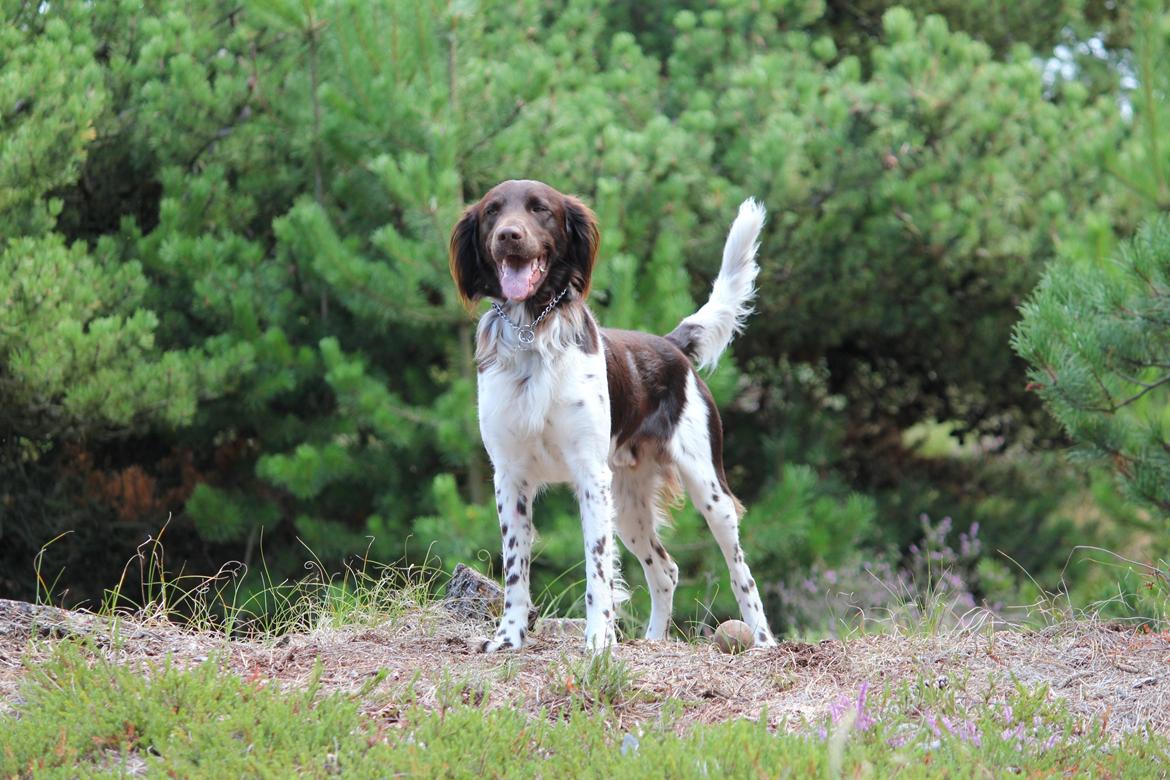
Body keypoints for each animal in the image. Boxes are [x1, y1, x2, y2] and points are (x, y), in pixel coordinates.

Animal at [449, 178, 776, 654]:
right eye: (493, 211)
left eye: (540, 209)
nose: (509, 235)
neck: (533, 332)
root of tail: (672, 346)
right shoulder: (509, 477)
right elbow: (514, 570)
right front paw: (509, 637)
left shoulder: (589, 474)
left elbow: (597, 568)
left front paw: (599, 639)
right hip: (628, 503)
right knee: (666, 569)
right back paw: (655, 640)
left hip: (707, 487)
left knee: (740, 571)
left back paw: (765, 639)